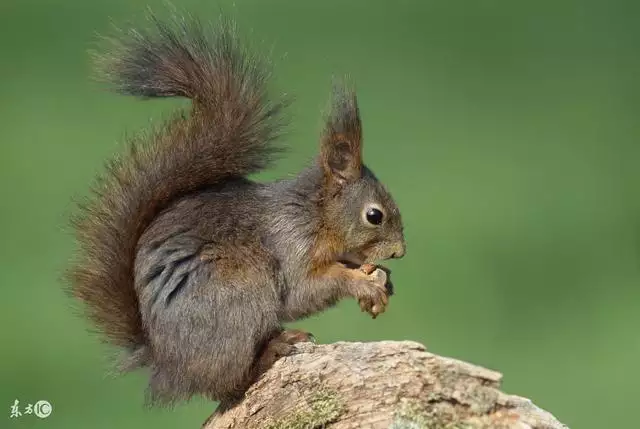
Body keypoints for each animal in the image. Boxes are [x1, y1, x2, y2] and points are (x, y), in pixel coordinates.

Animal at [67, 12, 408, 404]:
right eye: (374, 215)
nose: (400, 252)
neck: (314, 214)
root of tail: (167, 365)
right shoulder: (290, 244)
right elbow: (306, 290)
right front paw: (360, 283)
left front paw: (383, 278)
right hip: (237, 300)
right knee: (229, 383)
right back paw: (271, 351)